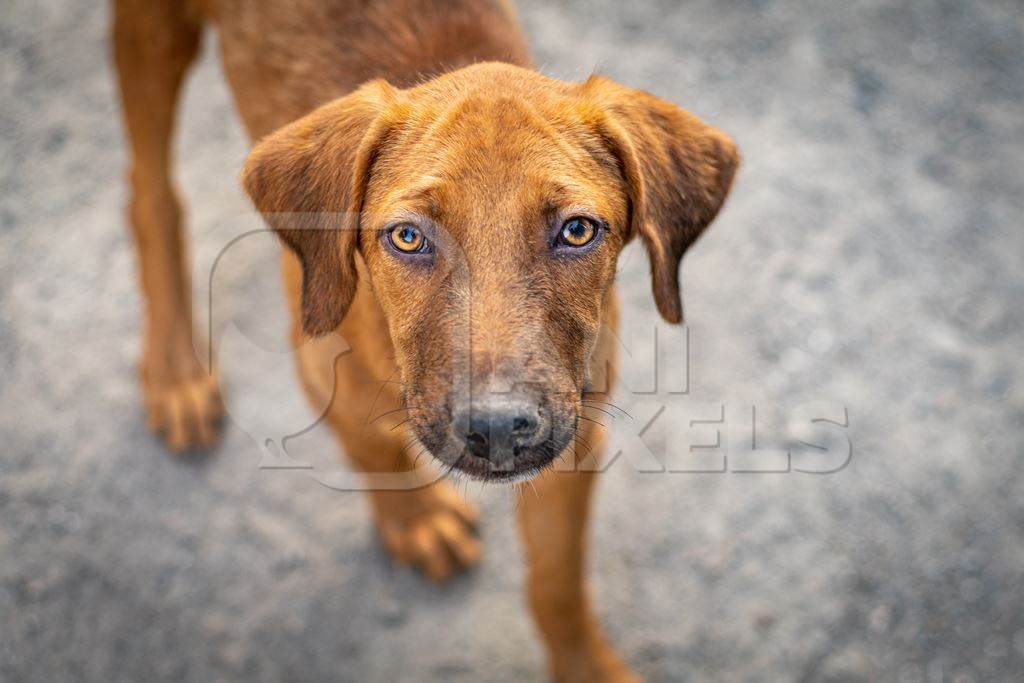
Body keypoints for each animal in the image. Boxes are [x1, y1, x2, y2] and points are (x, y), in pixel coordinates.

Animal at [112, 2, 737, 679]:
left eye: (577, 231)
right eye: (408, 237)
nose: (496, 428)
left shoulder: (576, 439)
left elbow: (557, 585)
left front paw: (586, 667)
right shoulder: (324, 371)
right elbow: (375, 454)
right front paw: (418, 520)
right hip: (152, 33)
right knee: (150, 192)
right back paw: (176, 374)